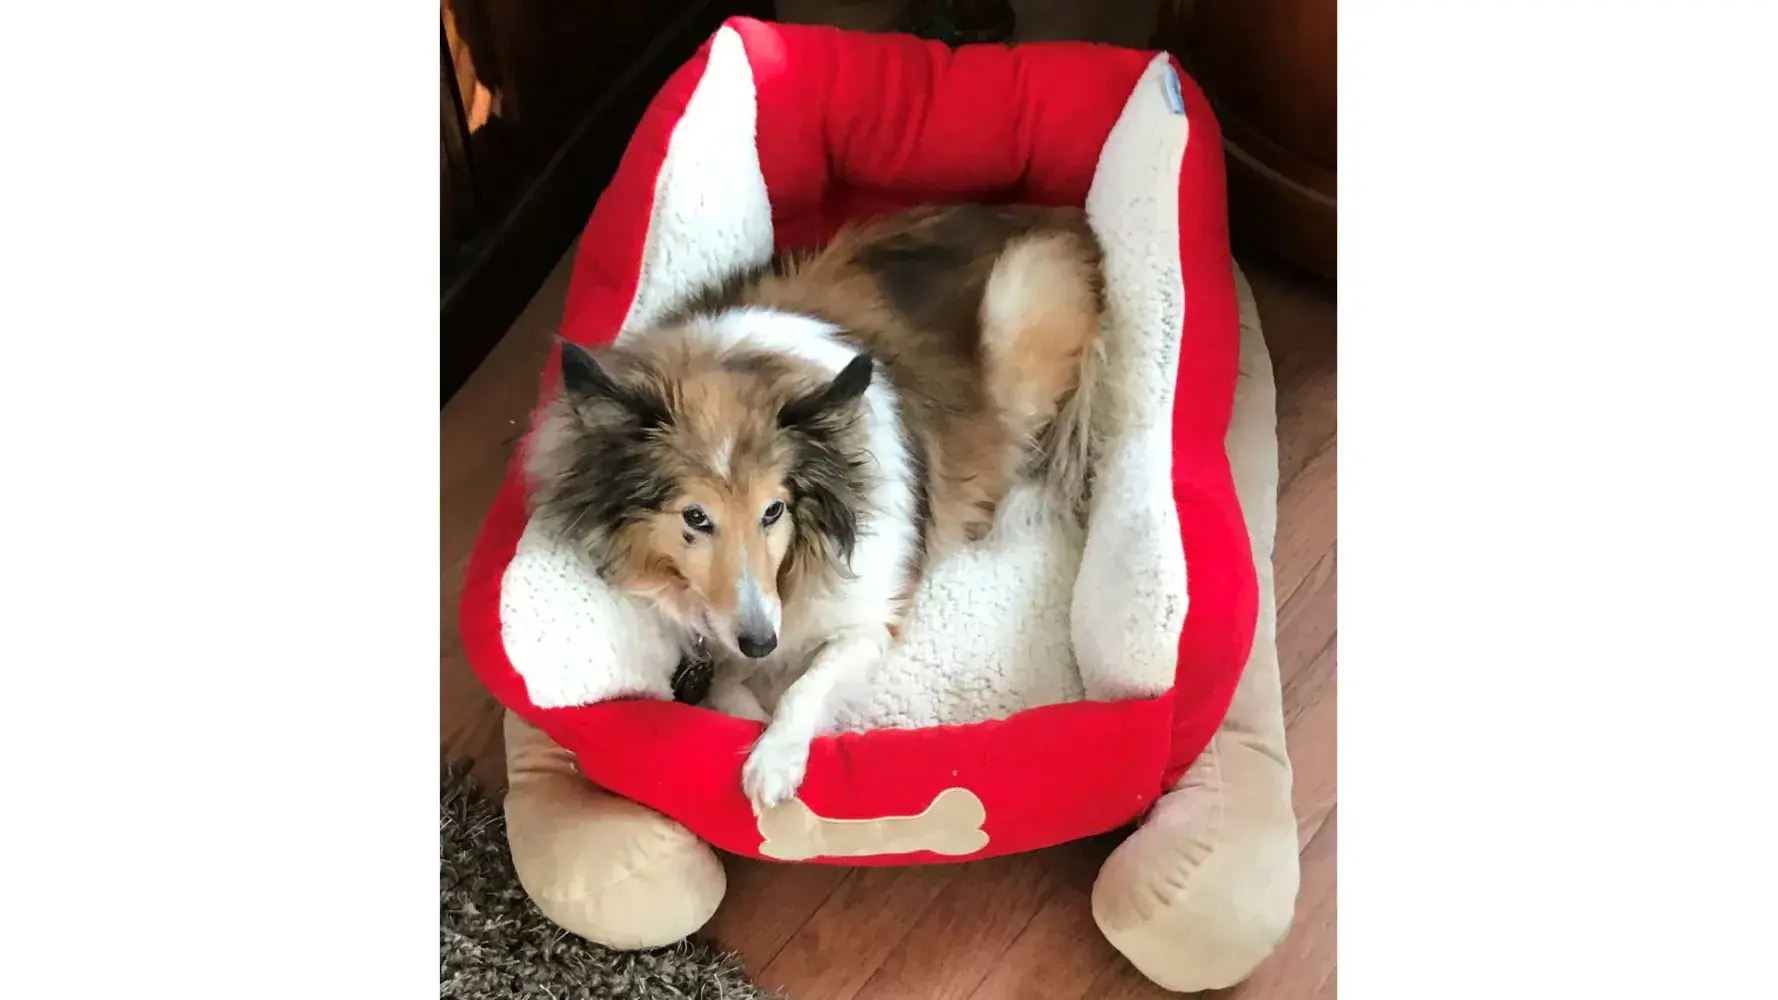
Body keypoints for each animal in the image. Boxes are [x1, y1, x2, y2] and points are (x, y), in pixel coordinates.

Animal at [524, 204, 1106, 811]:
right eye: (695, 517)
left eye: (774, 510)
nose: (761, 641)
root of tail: (1069, 218)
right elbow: (730, 688)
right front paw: (750, 725)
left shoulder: (871, 620)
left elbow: (809, 683)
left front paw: (774, 760)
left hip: (1017, 316)